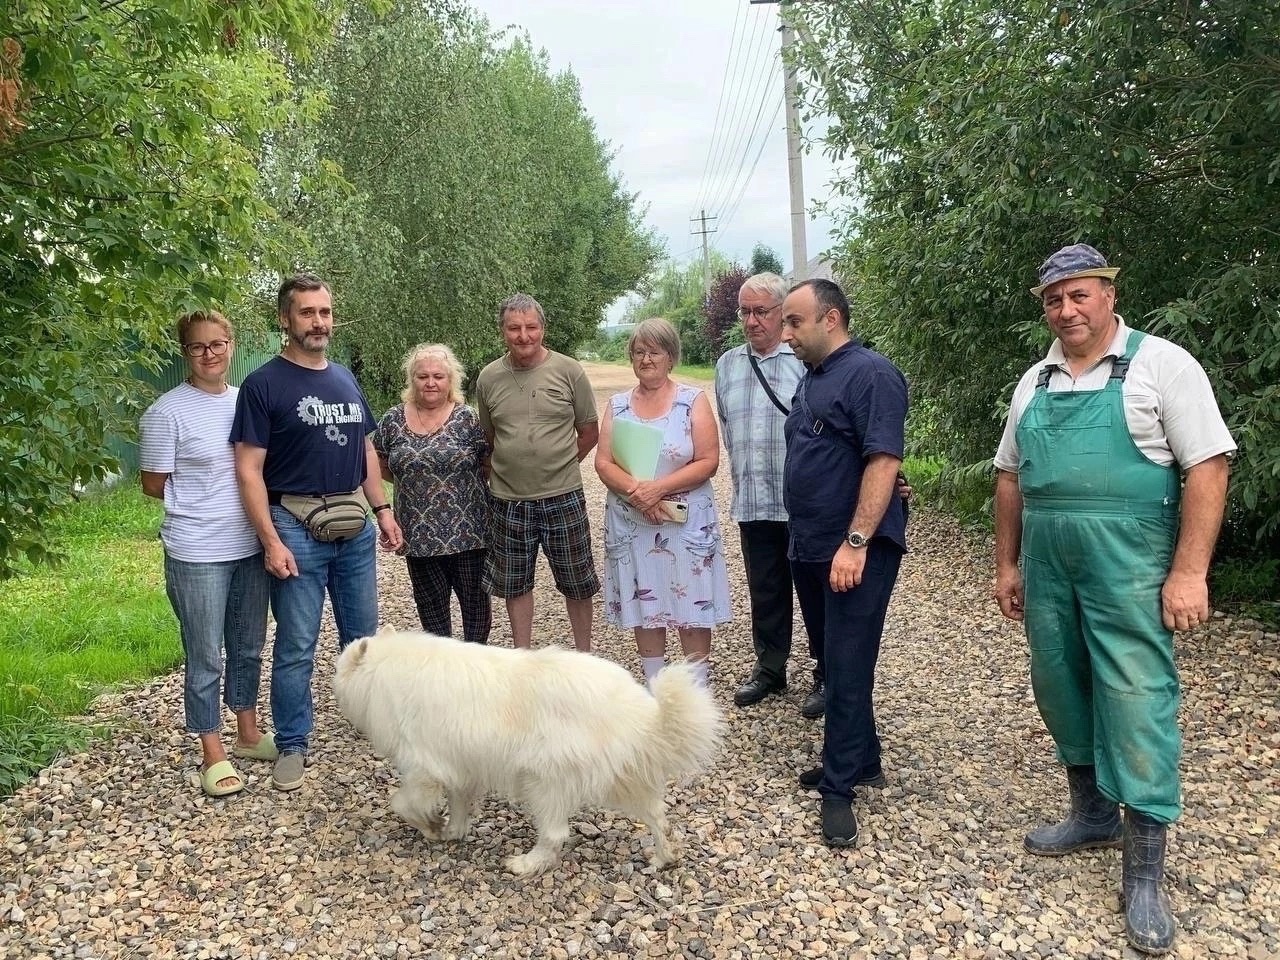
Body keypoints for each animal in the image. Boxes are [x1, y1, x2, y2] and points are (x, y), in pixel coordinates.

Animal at [332, 632, 721, 880]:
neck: (385, 669)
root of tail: (639, 711)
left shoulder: (422, 768)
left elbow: (402, 803)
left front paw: (431, 827)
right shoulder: (460, 767)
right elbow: (458, 804)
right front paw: (453, 830)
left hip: (545, 783)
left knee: (555, 834)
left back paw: (525, 864)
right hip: (621, 780)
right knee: (657, 816)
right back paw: (664, 857)